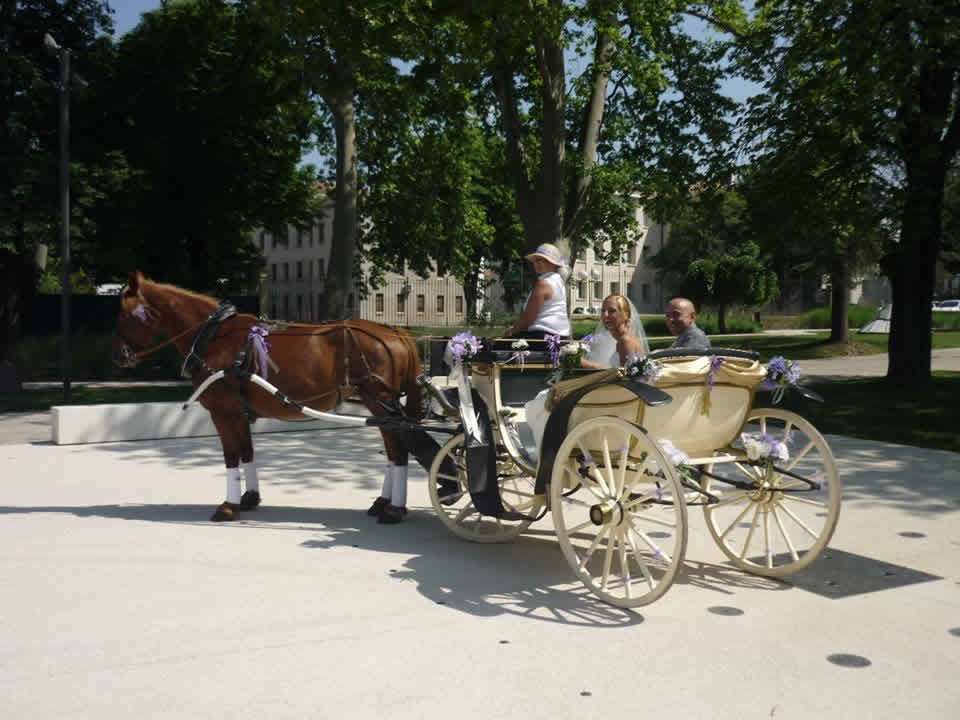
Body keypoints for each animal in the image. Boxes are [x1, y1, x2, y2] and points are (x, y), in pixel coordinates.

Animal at [114, 270, 422, 524]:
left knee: (399, 451)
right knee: (393, 451)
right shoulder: (239, 411)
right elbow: (247, 452)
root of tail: (396, 331)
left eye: (124, 315)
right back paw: (383, 502)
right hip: (380, 406)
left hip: (380, 402)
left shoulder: (224, 411)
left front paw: (228, 507)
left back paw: (394, 509)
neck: (215, 336)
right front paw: (249, 498)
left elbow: (231, 456)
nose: (120, 356)